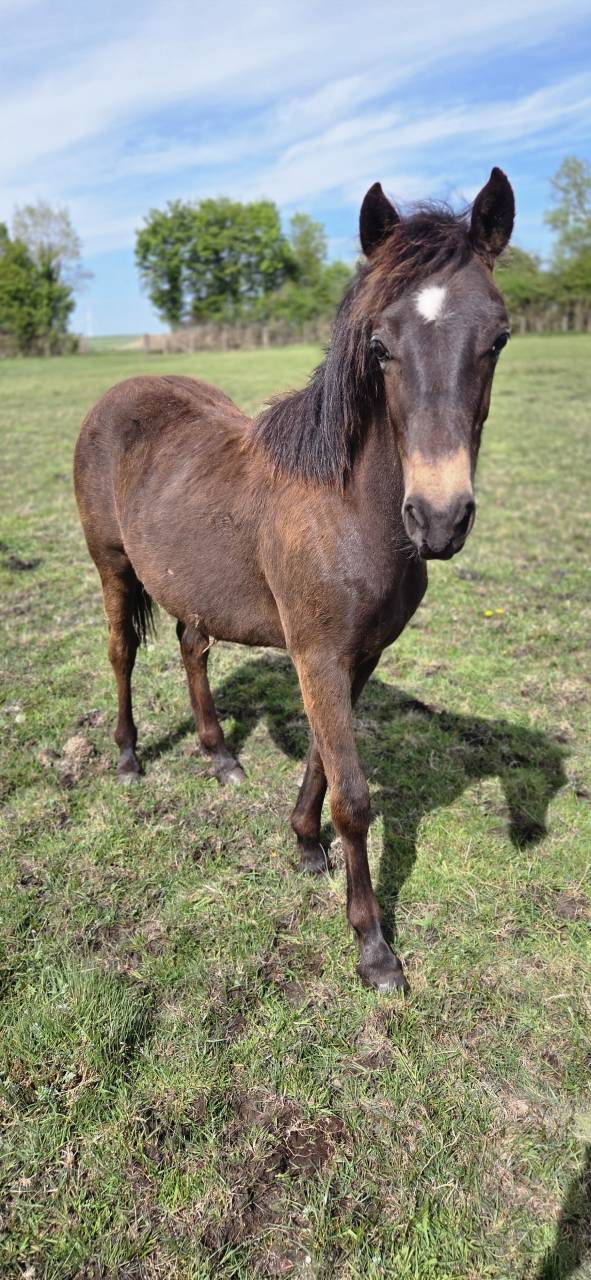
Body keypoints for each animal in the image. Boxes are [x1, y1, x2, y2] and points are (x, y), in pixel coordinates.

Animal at [74, 167, 515, 992]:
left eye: (497, 338)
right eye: (379, 344)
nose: (438, 519)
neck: (347, 508)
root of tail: (119, 391)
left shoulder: (354, 656)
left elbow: (320, 760)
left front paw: (305, 846)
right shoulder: (317, 653)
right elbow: (355, 796)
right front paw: (372, 947)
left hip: (190, 585)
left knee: (191, 649)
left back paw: (220, 757)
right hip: (111, 566)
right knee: (121, 654)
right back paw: (126, 757)